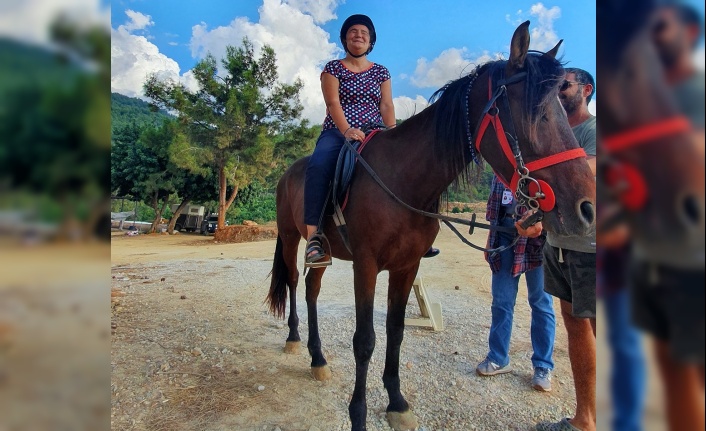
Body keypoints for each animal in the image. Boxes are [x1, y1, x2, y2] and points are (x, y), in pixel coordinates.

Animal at [266, 22, 592, 431]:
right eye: (535, 112)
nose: (586, 207)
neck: (402, 179)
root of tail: (289, 172)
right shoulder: (366, 265)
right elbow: (365, 340)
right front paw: (358, 414)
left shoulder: (408, 266)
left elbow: (395, 331)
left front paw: (396, 403)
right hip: (291, 236)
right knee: (295, 281)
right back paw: (295, 340)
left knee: (312, 288)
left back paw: (318, 358)